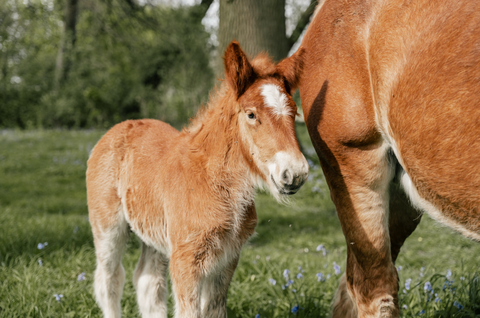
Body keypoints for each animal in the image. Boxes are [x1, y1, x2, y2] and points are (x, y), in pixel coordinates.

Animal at [86, 41, 308, 316]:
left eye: (294, 112)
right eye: (251, 115)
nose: (295, 173)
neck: (214, 182)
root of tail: (117, 128)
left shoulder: (226, 259)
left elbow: (213, 309)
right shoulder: (186, 260)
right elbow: (189, 311)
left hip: (154, 234)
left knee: (148, 283)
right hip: (107, 227)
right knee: (110, 280)